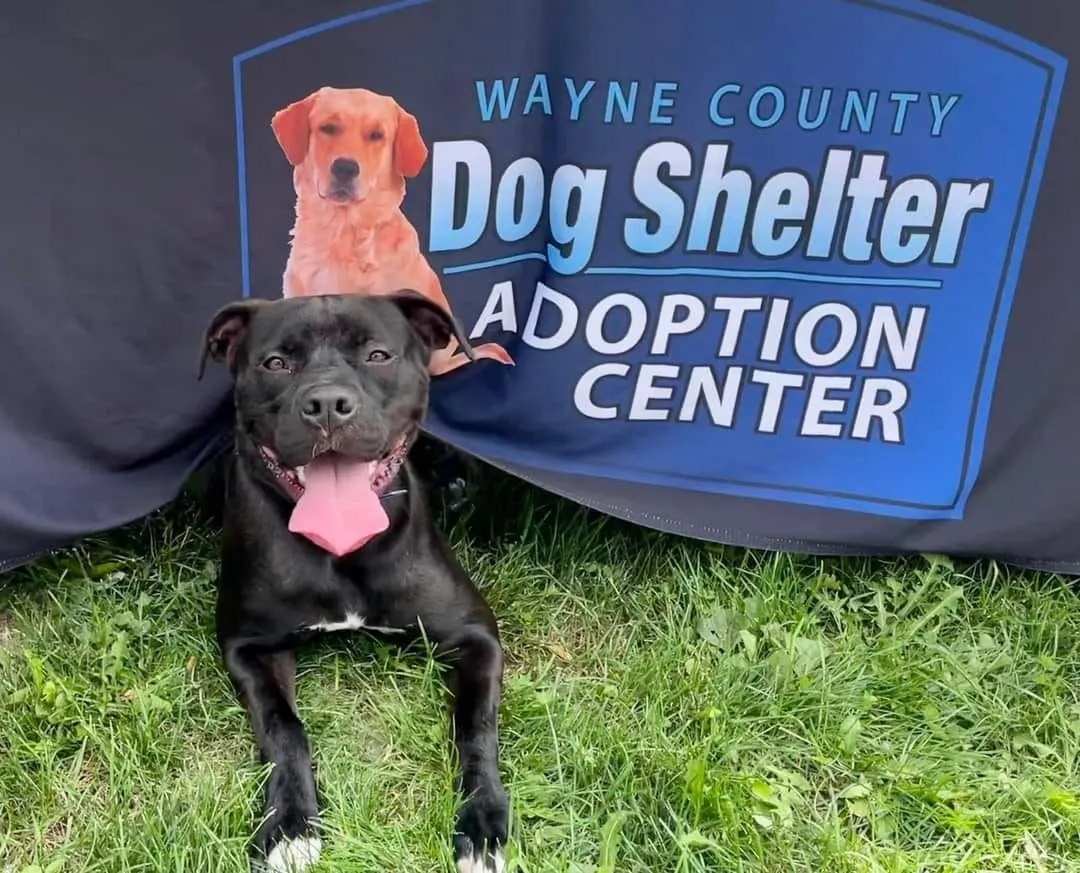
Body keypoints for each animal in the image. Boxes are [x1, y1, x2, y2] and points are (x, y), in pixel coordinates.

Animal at [199, 289, 509, 868]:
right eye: (276, 363)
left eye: (377, 356)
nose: (326, 404)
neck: (341, 551)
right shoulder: (249, 646)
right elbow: (283, 727)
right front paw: (290, 825)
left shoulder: (476, 635)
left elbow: (476, 725)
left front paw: (482, 822)